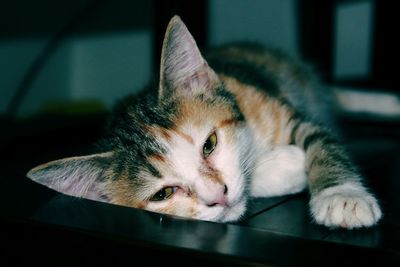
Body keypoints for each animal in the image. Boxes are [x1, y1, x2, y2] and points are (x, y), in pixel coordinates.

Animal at [26, 14, 382, 228]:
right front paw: (287, 167)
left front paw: (342, 196)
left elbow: (323, 142)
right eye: (164, 194)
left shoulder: (276, 108)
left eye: (209, 144)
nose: (217, 197)